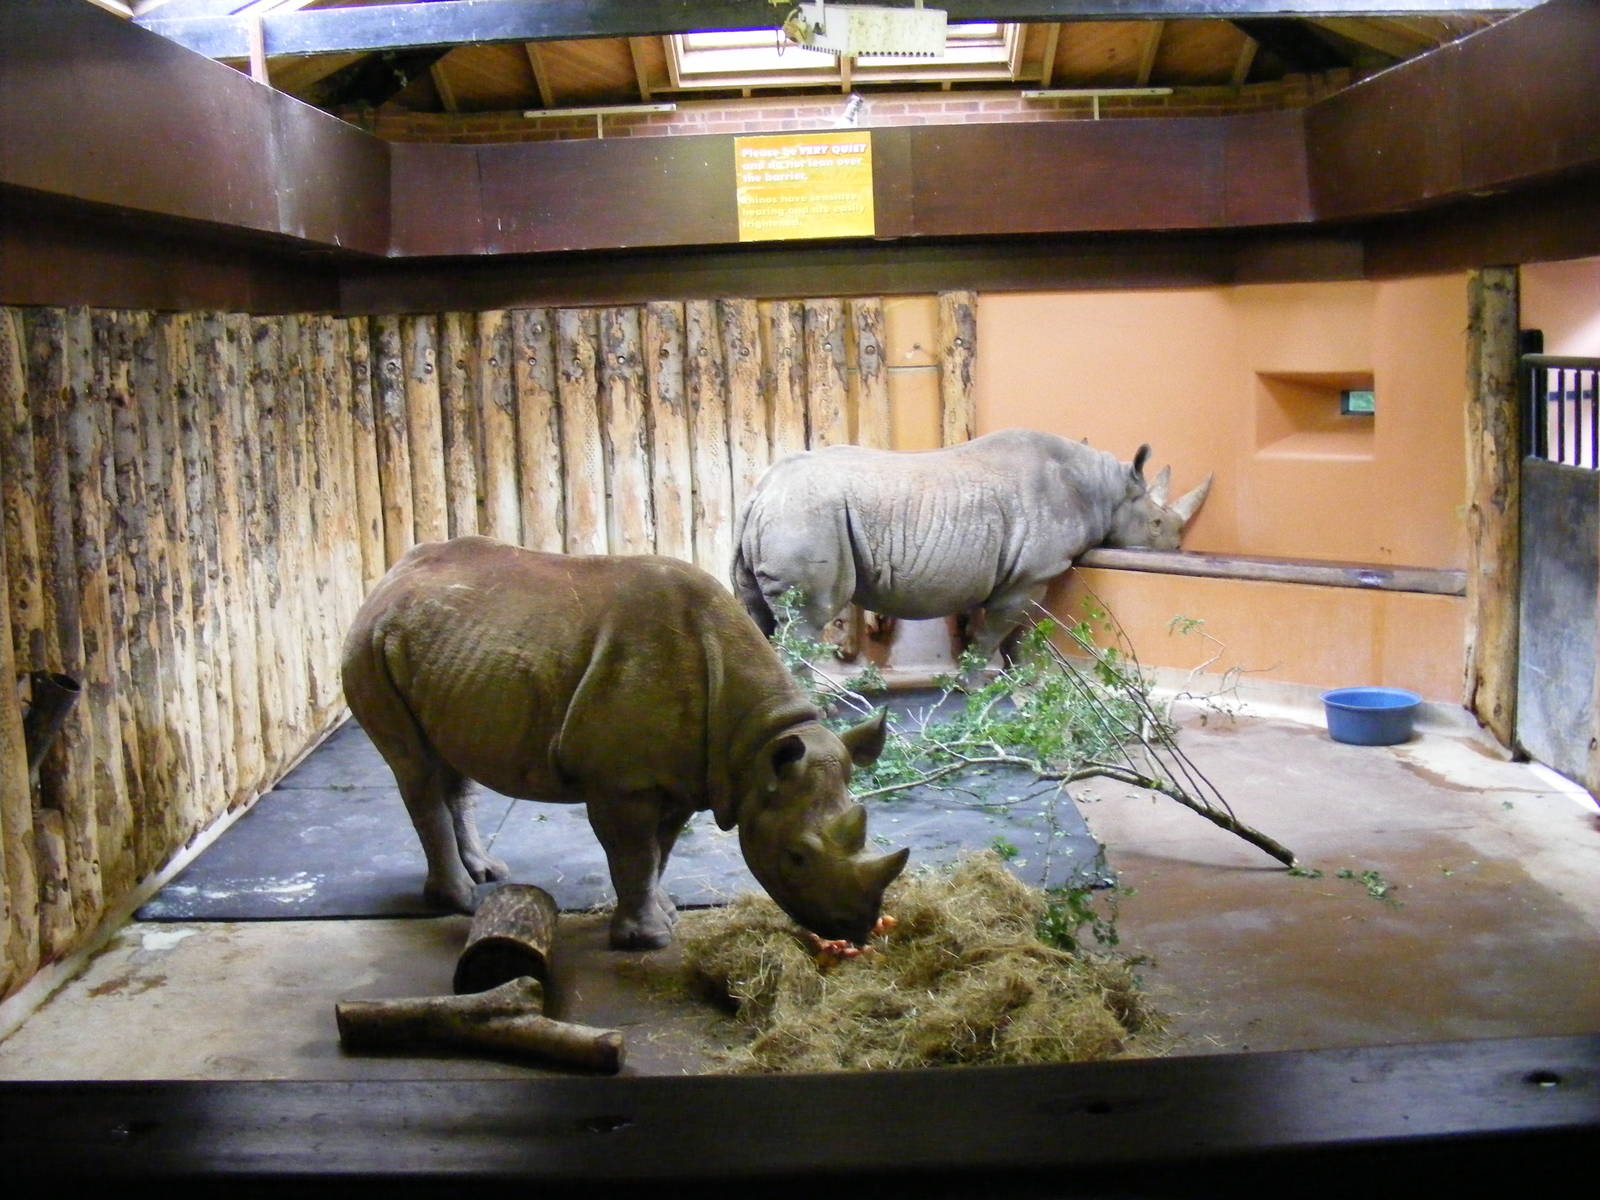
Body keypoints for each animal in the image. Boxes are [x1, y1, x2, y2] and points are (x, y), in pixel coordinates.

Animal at [341, 536, 908, 950]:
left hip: (442, 646)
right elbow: (633, 852)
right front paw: (648, 940)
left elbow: (660, 850)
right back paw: (459, 899)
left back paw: (486, 873)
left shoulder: (686, 774)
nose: (859, 929)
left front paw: (666, 914)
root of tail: (389, 578)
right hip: (368, 644)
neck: (755, 749)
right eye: (796, 856)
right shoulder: (622, 782)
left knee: (450, 765)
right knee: (415, 768)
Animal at [731, 428, 1211, 662]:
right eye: (1156, 523)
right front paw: (981, 694)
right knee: (809, 621)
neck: (1102, 488)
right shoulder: (1031, 573)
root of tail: (761, 491)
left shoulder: (1024, 573)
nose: (1177, 548)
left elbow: (1018, 635)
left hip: (780, 518)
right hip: (807, 518)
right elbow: (994, 634)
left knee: (758, 621)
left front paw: (1021, 682)